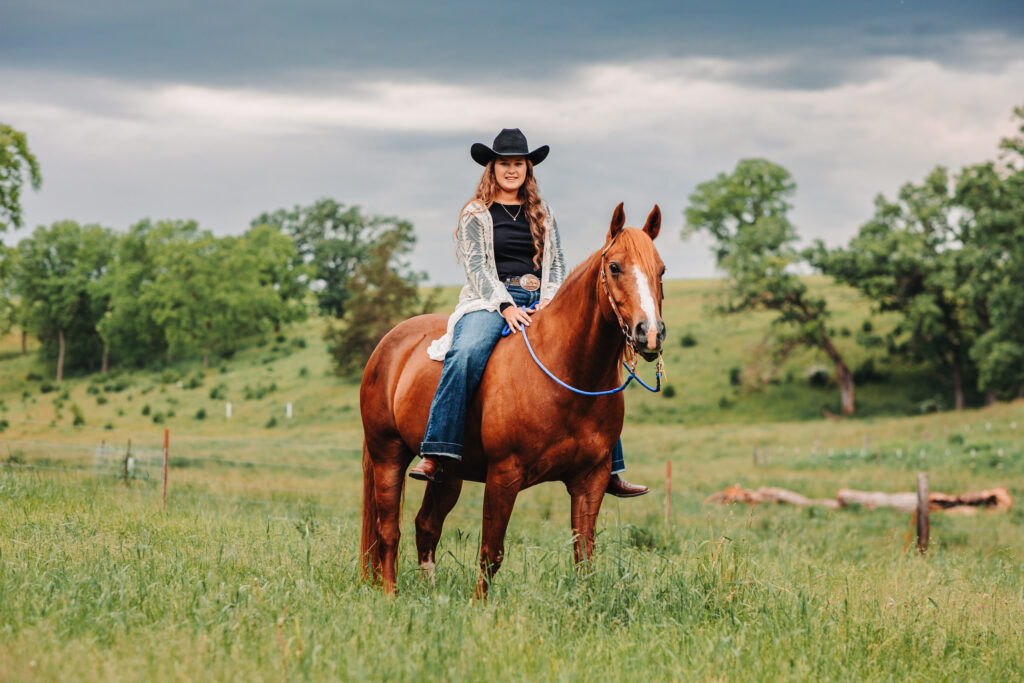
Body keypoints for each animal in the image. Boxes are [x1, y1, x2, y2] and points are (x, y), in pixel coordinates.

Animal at [358, 204, 663, 598]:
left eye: (661, 270)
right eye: (614, 267)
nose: (650, 333)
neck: (565, 371)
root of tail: (388, 344)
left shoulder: (591, 479)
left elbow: (584, 553)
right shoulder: (504, 475)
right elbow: (491, 552)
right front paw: (480, 607)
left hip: (448, 474)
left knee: (425, 526)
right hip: (388, 454)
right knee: (388, 530)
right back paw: (391, 594)